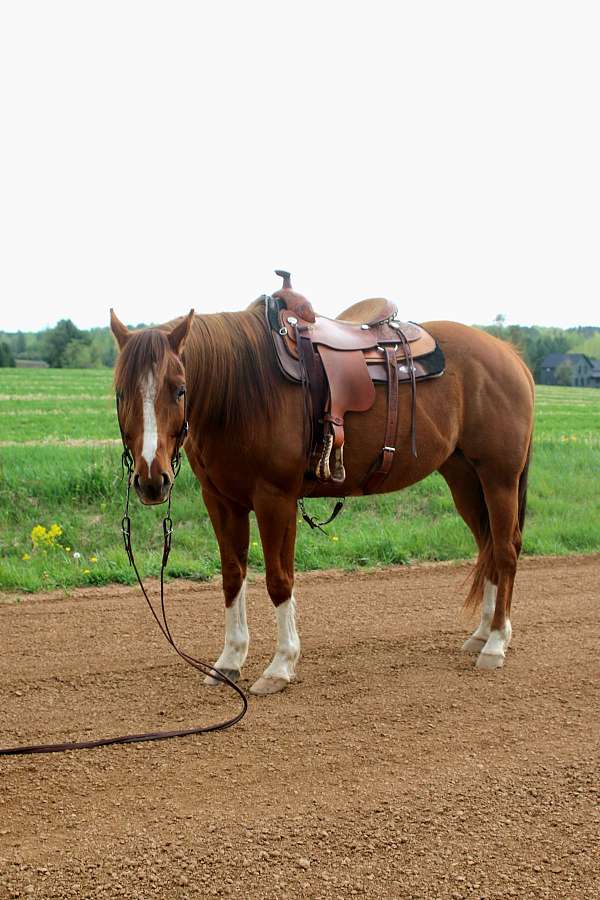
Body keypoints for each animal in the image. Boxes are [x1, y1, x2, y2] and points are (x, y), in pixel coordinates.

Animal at [110, 286, 534, 696]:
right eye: (120, 392)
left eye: (179, 390)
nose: (152, 479)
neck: (242, 390)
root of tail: (510, 356)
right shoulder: (221, 501)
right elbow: (232, 576)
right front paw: (229, 661)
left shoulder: (275, 499)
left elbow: (279, 579)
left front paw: (280, 666)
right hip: (464, 477)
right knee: (488, 546)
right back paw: (481, 634)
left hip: (499, 477)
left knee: (505, 550)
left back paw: (496, 643)